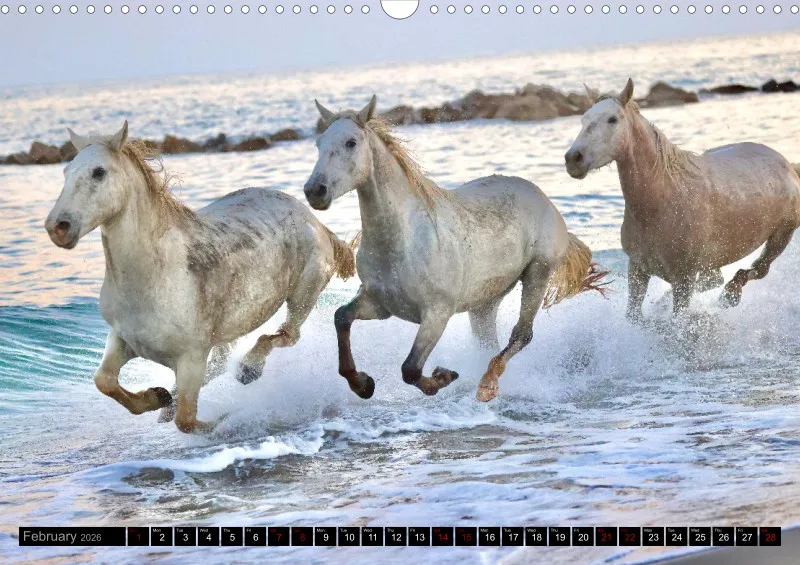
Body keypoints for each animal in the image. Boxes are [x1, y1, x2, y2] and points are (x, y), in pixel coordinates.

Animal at [44, 121, 356, 433]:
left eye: (99, 172)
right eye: (65, 172)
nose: (57, 227)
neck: (155, 277)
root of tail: (315, 222)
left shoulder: (191, 358)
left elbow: (187, 420)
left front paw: (226, 419)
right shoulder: (122, 339)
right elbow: (105, 381)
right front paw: (157, 396)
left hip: (303, 295)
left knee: (287, 335)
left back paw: (248, 369)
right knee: (224, 360)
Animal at [304, 96, 607, 402]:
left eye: (351, 142)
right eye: (318, 143)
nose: (314, 191)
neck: (402, 241)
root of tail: (546, 201)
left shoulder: (437, 314)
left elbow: (410, 369)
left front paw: (443, 377)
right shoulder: (380, 304)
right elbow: (342, 317)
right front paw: (363, 385)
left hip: (538, 273)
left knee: (522, 334)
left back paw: (486, 385)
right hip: (486, 301)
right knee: (488, 340)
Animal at [565, 78, 800, 319]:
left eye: (612, 119)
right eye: (584, 119)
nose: (573, 159)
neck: (662, 202)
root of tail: (786, 164)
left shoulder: (683, 280)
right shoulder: (638, 270)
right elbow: (634, 316)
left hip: (781, 236)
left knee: (759, 269)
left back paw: (730, 294)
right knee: (715, 279)